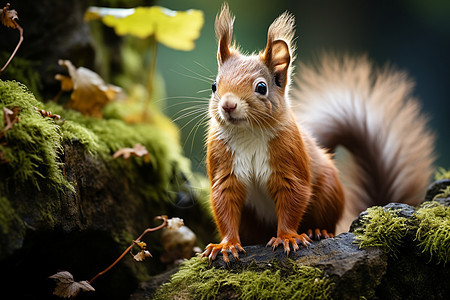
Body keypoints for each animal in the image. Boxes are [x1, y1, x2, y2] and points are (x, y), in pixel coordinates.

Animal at [202, 4, 434, 262]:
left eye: (261, 87)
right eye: (214, 85)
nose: (228, 105)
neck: (248, 134)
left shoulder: (290, 163)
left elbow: (293, 200)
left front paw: (287, 237)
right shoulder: (224, 170)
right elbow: (224, 206)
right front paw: (226, 245)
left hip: (328, 191)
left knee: (327, 223)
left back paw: (317, 231)